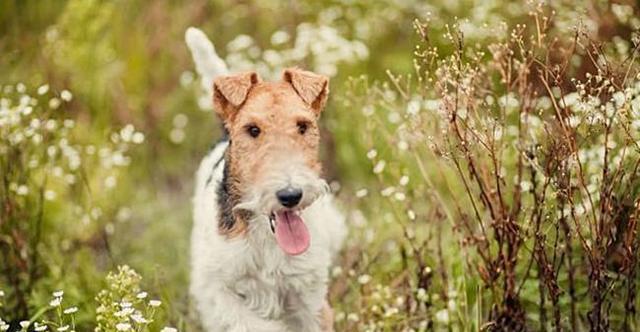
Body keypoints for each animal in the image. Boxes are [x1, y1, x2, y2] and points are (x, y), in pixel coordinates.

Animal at [189, 66, 348, 330]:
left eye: (303, 126)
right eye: (253, 129)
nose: (290, 195)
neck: (266, 237)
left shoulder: (309, 297)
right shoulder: (217, 289)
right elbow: (249, 322)